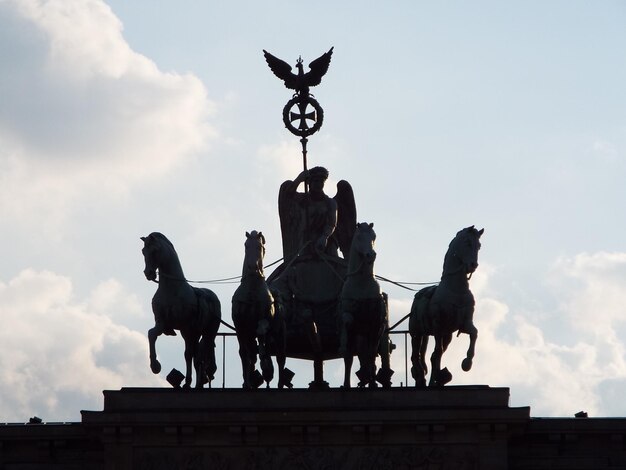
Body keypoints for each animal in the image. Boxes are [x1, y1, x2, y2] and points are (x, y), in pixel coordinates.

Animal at [140, 232, 221, 390]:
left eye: (154, 251)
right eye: (143, 252)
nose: (149, 273)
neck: (171, 290)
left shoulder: (187, 327)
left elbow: (189, 354)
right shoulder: (162, 324)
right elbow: (151, 334)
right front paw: (155, 366)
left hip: (206, 332)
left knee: (199, 353)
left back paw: (198, 381)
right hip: (193, 333)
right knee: (196, 355)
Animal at [338, 222, 382, 388]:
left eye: (374, 236)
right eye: (358, 237)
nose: (371, 255)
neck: (362, 284)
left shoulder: (375, 324)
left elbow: (371, 355)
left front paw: (372, 382)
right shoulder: (347, 314)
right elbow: (347, 320)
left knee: (369, 358)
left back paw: (369, 381)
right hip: (358, 338)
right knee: (354, 358)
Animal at [410, 227, 482, 386]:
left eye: (479, 246)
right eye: (467, 243)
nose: (473, 265)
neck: (456, 290)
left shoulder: (464, 324)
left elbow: (474, 333)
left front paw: (467, 363)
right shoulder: (438, 325)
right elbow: (437, 351)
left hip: (447, 335)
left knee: (432, 356)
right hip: (417, 332)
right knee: (416, 356)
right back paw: (420, 375)